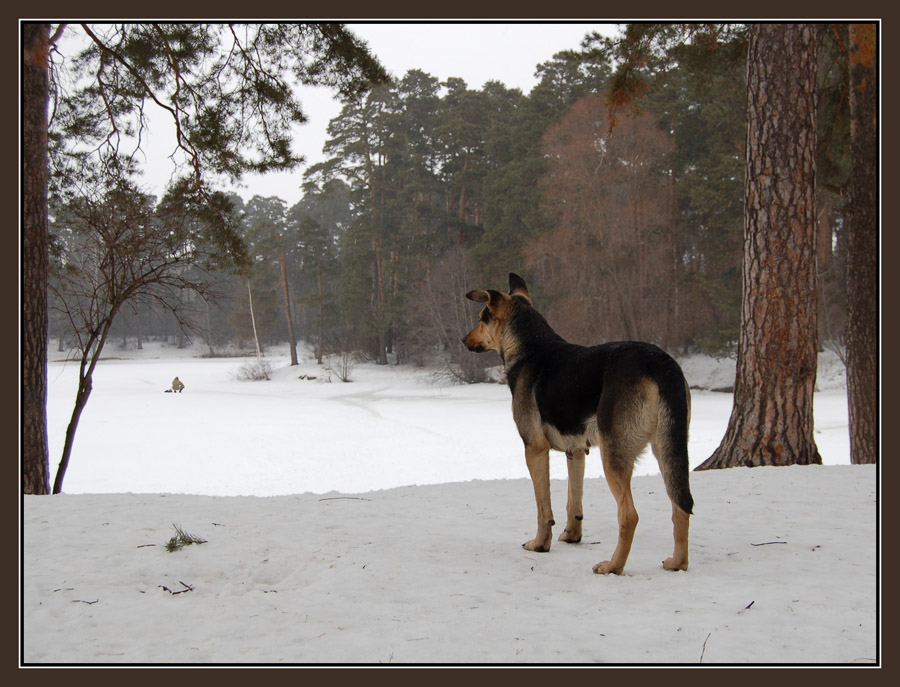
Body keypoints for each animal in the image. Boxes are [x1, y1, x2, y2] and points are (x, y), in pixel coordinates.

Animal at [464, 274, 696, 576]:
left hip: (614, 455)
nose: (464, 340)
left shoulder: (534, 450)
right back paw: (677, 562)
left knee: (629, 515)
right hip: (668, 447)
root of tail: (661, 363)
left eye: (482, 318)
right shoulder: (575, 450)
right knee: (680, 505)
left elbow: (543, 508)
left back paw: (613, 566)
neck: (530, 347)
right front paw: (572, 536)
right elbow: (573, 500)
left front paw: (540, 544)